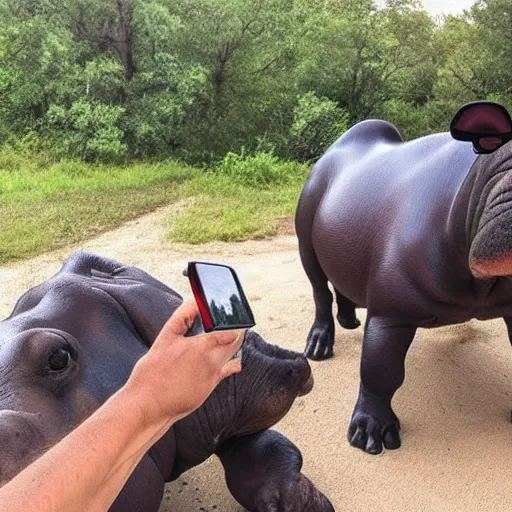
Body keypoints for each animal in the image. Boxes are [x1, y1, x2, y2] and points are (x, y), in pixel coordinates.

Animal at [294, 102, 512, 454]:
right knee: (319, 290)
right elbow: (380, 369)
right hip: (305, 241)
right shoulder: (390, 312)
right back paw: (319, 347)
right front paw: (370, 436)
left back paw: (350, 321)